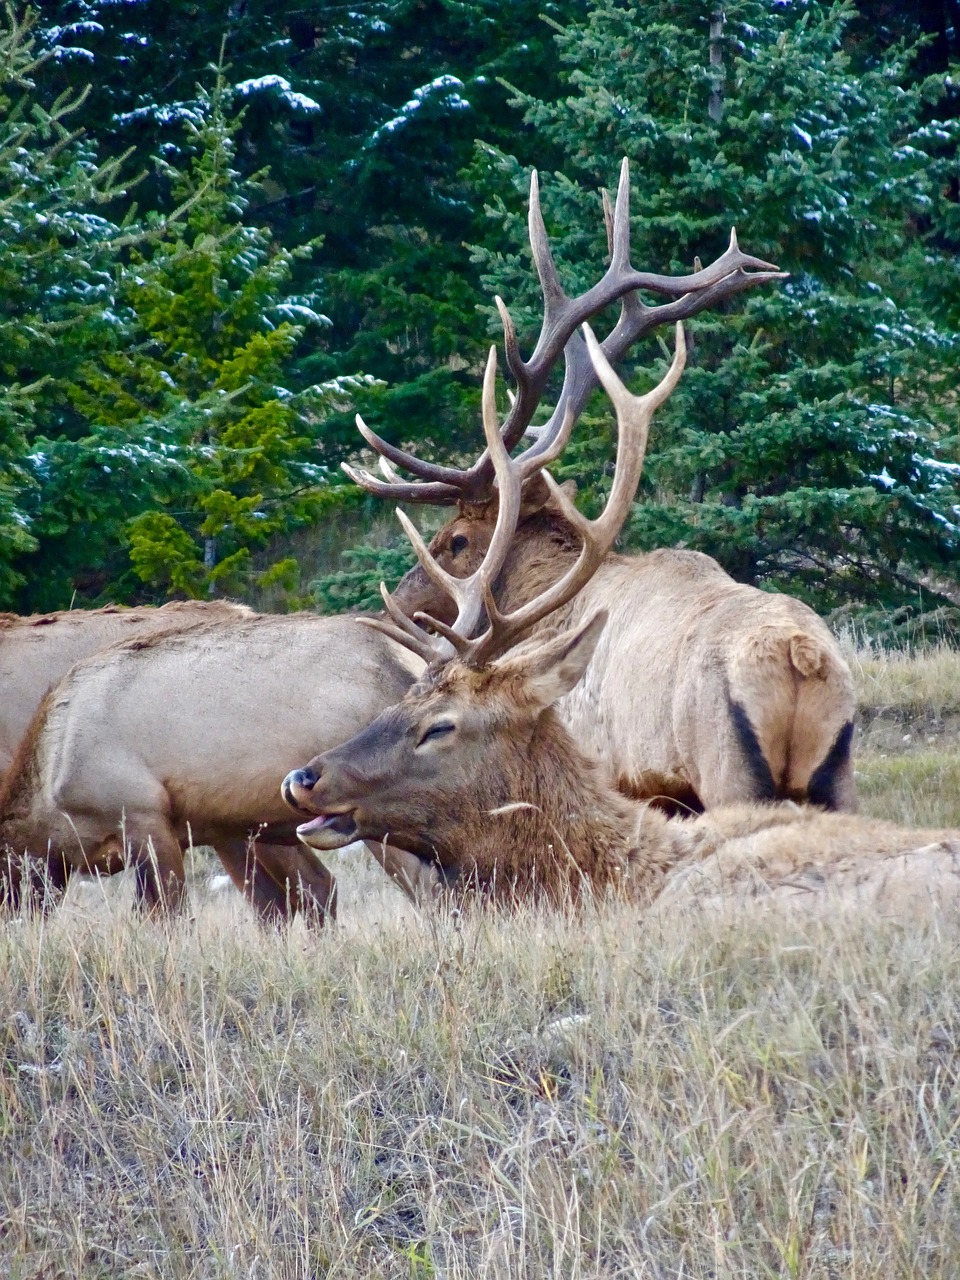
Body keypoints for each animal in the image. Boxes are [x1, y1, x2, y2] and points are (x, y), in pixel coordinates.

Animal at [350, 160, 860, 814]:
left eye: (457, 541)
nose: (392, 604)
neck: (542, 615)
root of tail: (802, 659)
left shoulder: (608, 765)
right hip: (838, 778)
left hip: (728, 773)